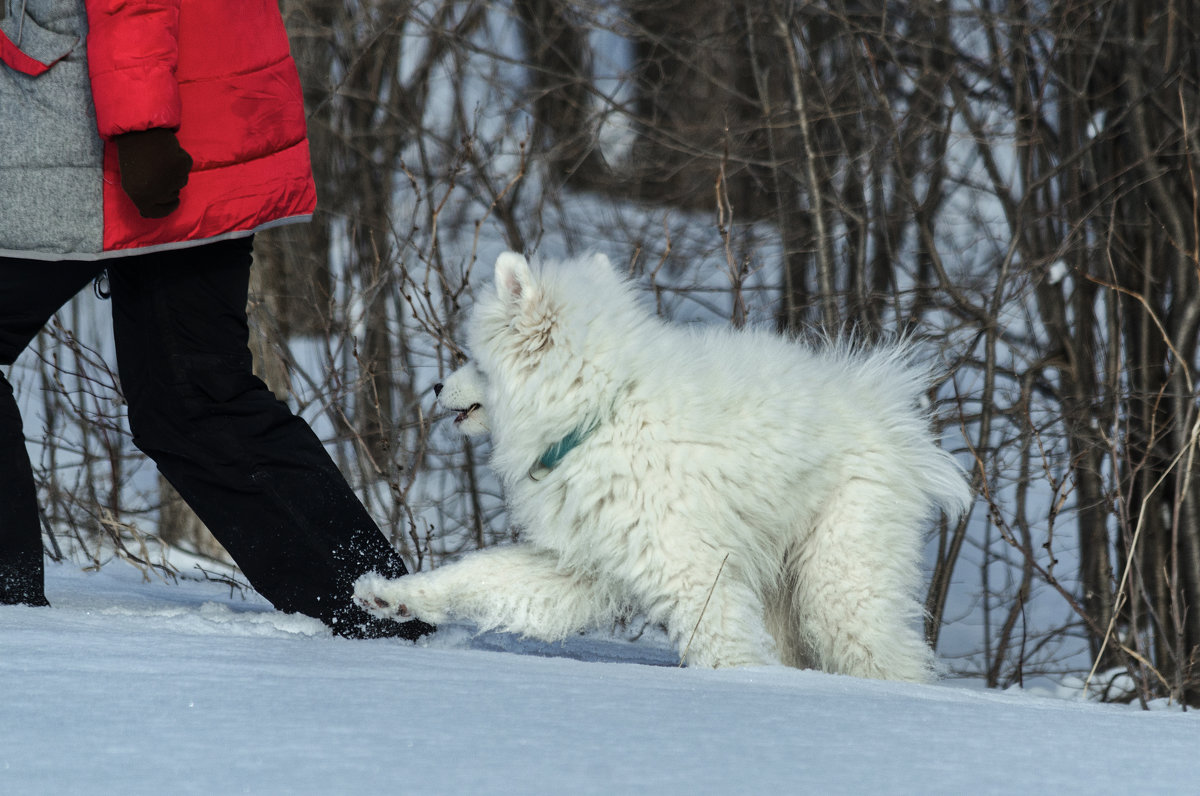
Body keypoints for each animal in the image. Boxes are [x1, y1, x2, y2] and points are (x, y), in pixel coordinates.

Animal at [352, 253, 964, 677]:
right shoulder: (584, 562)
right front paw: (394, 595)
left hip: (839, 578)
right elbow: (480, 574)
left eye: (475, 360)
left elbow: (721, 646)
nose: (435, 387)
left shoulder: (689, 569)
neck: (602, 410)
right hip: (781, 583)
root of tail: (889, 416)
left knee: (885, 655)